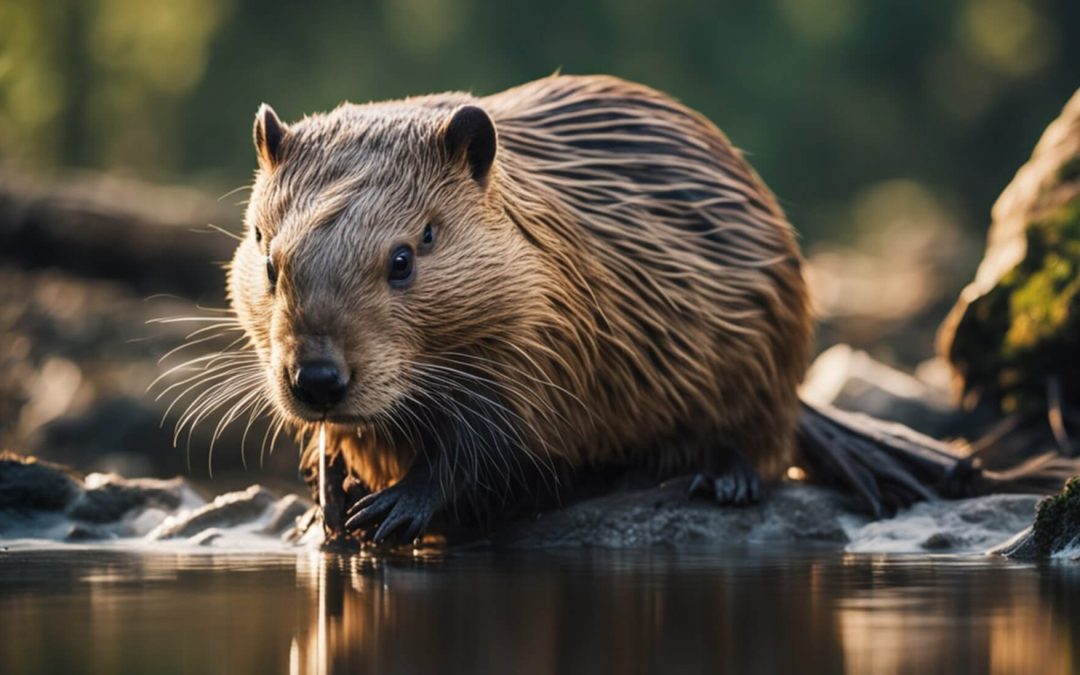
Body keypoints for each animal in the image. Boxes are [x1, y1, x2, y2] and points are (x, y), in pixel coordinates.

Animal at [230, 73, 1045, 544]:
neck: (538, 233)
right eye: (267, 256)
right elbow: (341, 443)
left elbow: (498, 444)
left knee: (762, 438)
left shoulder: (554, 336)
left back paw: (725, 479)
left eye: (405, 257)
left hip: (768, 362)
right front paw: (328, 500)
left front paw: (394, 508)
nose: (317, 380)